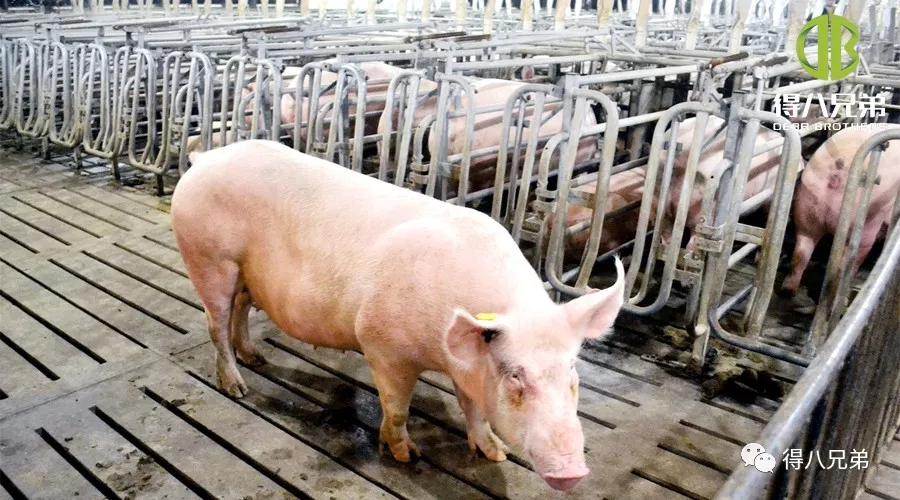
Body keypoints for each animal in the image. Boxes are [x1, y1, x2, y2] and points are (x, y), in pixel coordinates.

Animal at [171, 139, 626, 492]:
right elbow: (397, 407)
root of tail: (205, 158)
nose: (573, 471)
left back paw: (257, 359)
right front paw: (406, 455)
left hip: (246, 274)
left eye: (572, 371)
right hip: (209, 259)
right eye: (516, 375)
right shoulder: (382, 346)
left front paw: (494, 454)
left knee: (240, 310)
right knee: (215, 322)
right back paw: (237, 387)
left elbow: (473, 406)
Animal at [781, 124, 900, 297]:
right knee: (845, 266)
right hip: (864, 224)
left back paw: (788, 291)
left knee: (800, 255)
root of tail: (840, 168)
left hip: (806, 211)